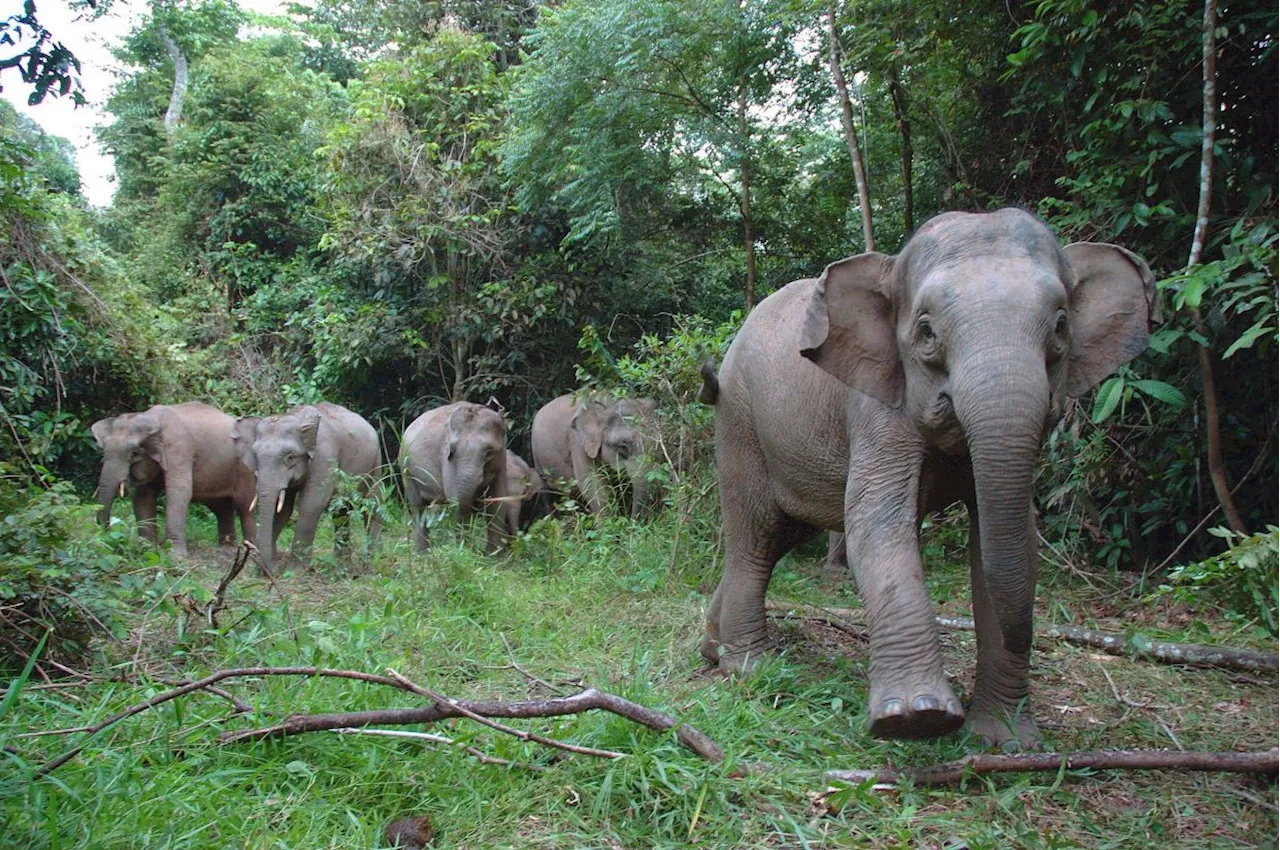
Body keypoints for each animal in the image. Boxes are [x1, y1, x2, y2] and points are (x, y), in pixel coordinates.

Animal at [90, 404, 257, 560]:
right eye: (103, 452)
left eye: (135, 454)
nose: (105, 537)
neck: (151, 418)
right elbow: (142, 496)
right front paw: (147, 550)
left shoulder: (179, 449)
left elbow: (180, 492)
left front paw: (175, 557)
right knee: (221, 507)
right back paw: (227, 548)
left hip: (245, 469)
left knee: (244, 507)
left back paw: (250, 553)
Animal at [401, 401, 517, 555]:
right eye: (452, 451)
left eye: (489, 453)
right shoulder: (446, 461)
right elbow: (456, 499)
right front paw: (465, 552)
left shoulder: (501, 461)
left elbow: (497, 502)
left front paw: (493, 555)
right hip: (406, 468)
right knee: (418, 506)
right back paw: (422, 554)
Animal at [532, 391, 660, 517]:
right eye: (622, 446)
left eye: (657, 445)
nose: (632, 520)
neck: (608, 404)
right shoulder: (577, 443)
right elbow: (592, 485)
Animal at [701, 208, 1162, 747]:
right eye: (926, 333)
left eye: (1062, 326)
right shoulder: (877, 405)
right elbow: (876, 523)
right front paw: (917, 719)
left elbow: (1009, 543)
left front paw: (1005, 740)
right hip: (740, 421)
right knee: (756, 534)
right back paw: (749, 667)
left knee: (784, 534)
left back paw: (713, 648)